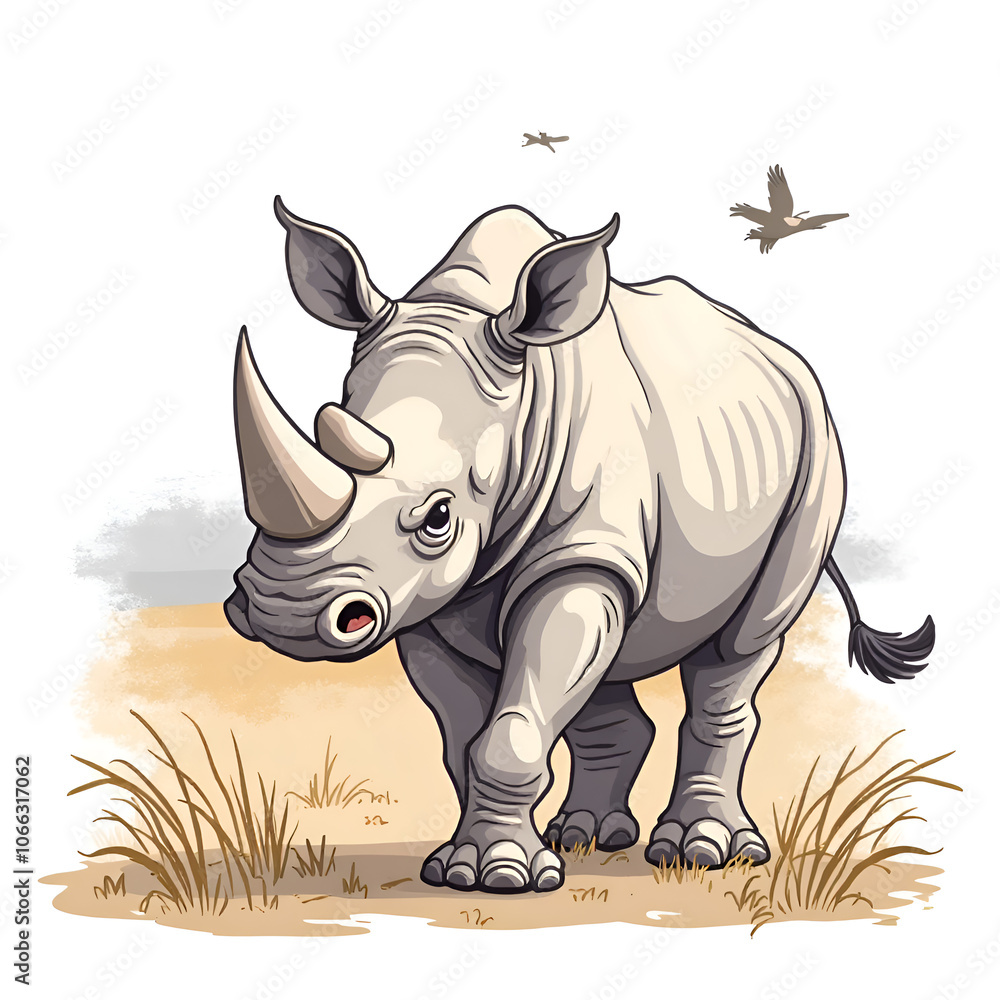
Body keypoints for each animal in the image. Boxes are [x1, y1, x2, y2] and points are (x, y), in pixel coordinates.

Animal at [224, 197, 935, 893]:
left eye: (438, 518)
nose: (283, 613)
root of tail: (782, 355)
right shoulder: (424, 602)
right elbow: (465, 734)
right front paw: (463, 868)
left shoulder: (583, 554)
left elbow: (513, 722)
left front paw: (499, 876)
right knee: (614, 662)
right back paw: (588, 838)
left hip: (818, 447)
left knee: (740, 645)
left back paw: (706, 853)